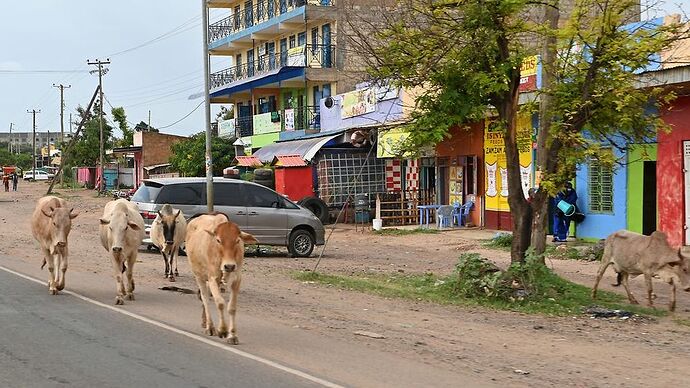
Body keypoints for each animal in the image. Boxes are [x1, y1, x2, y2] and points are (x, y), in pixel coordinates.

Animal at [184, 212, 256, 346]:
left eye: (237, 240)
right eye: (218, 240)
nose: (229, 266)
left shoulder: (237, 280)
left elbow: (232, 307)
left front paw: (232, 335)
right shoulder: (212, 278)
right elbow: (220, 303)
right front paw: (222, 330)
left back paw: (205, 322)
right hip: (199, 276)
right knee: (205, 298)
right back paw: (210, 327)